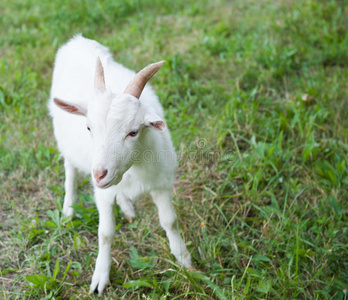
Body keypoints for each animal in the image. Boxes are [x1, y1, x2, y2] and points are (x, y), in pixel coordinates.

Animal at [47, 34, 192, 292]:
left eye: (133, 132)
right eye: (88, 127)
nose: (98, 174)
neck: (134, 170)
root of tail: (76, 40)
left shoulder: (162, 184)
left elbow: (170, 221)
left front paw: (184, 259)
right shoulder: (102, 194)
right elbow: (105, 233)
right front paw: (100, 277)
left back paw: (127, 208)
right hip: (64, 141)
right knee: (70, 169)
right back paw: (69, 208)